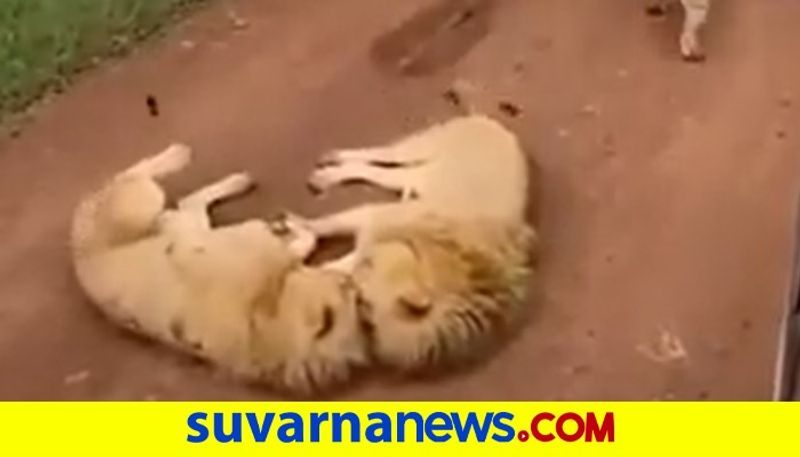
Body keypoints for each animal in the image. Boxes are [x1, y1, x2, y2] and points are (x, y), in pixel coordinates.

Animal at [70, 144, 368, 394]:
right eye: (347, 292)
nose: (351, 285)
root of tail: (77, 254)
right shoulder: (251, 239)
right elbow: (300, 241)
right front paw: (292, 231)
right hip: (142, 201)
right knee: (130, 177)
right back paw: (178, 156)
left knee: (183, 202)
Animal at [300, 116, 536, 376]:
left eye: (367, 305)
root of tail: (492, 123)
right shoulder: (375, 218)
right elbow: (330, 226)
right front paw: (305, 230)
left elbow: (343, 261)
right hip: (420, 151)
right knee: (383, 156)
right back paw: (336, 164)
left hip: (417, 175)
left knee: (380, 172)